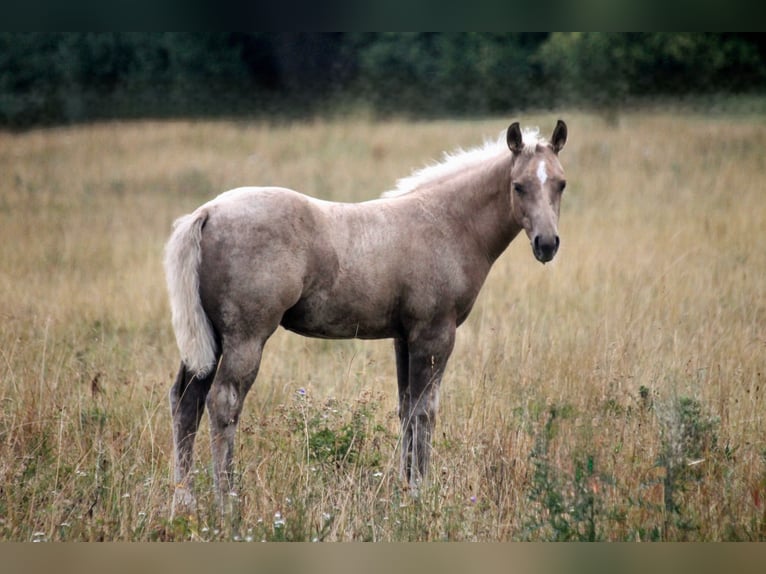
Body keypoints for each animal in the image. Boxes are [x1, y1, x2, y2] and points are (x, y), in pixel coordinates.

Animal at [164, 120, 568, 512]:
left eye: (561, 183)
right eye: (518, 186)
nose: (547, 244)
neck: (448, 223)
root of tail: (208, 212)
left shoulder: (404, 337)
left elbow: (407, 409)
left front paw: (406, 490)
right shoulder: (435, 334)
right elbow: (425, 412)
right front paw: (420, 495)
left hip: (211, 341)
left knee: (186, 402)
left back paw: (183, 500)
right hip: (245, 338)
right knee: (223, 403)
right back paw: (227, 503)